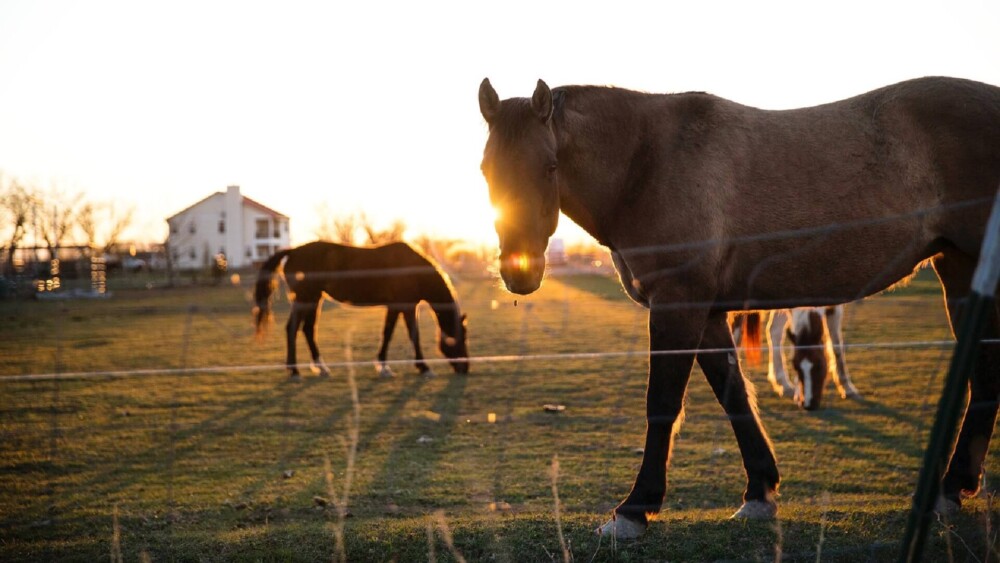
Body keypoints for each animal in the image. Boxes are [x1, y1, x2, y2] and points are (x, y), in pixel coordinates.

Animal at [250, 241, 468, 378]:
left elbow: (387, 333)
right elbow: (413, 335)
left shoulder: (395, 306)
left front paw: (383, 366)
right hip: (305, 299)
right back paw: (295, 371)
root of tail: (293, 251)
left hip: (314, 299)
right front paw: (423, 368)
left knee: (308, 330)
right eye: (459, 338)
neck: (411, 269)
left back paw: (321, 368)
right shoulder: (406, 306)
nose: (465, 367)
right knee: (293, 329)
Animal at [476, 77, 1000, 540]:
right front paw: (759, 492)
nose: (520, 272)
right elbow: (734, 396)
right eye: (486, 170)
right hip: (959, 268)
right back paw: (952, 488)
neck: (647, 162)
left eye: (549, 167)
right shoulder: (707, 314)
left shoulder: (677, 305)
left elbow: (662, 404)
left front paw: (634, 511)